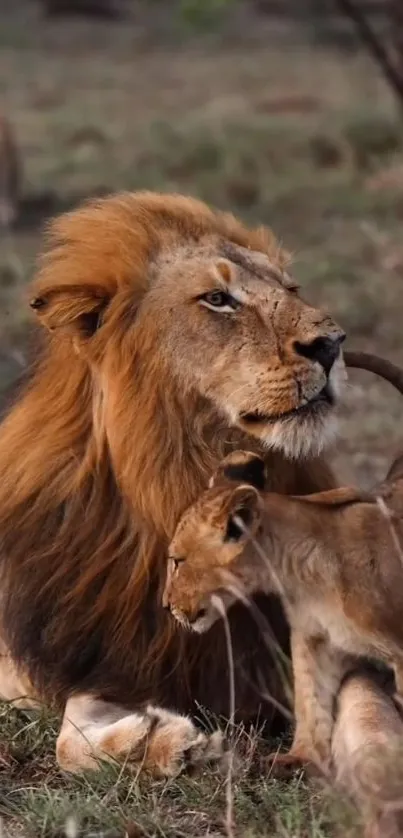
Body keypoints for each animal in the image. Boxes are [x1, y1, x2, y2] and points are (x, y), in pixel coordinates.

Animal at [0, 192, 400, 780]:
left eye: (292, 288)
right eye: (217, 299)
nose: (332, 344)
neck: (180, 478)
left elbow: (363, 704)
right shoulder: (111, 655)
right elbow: (67, 741)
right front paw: (165, 744)